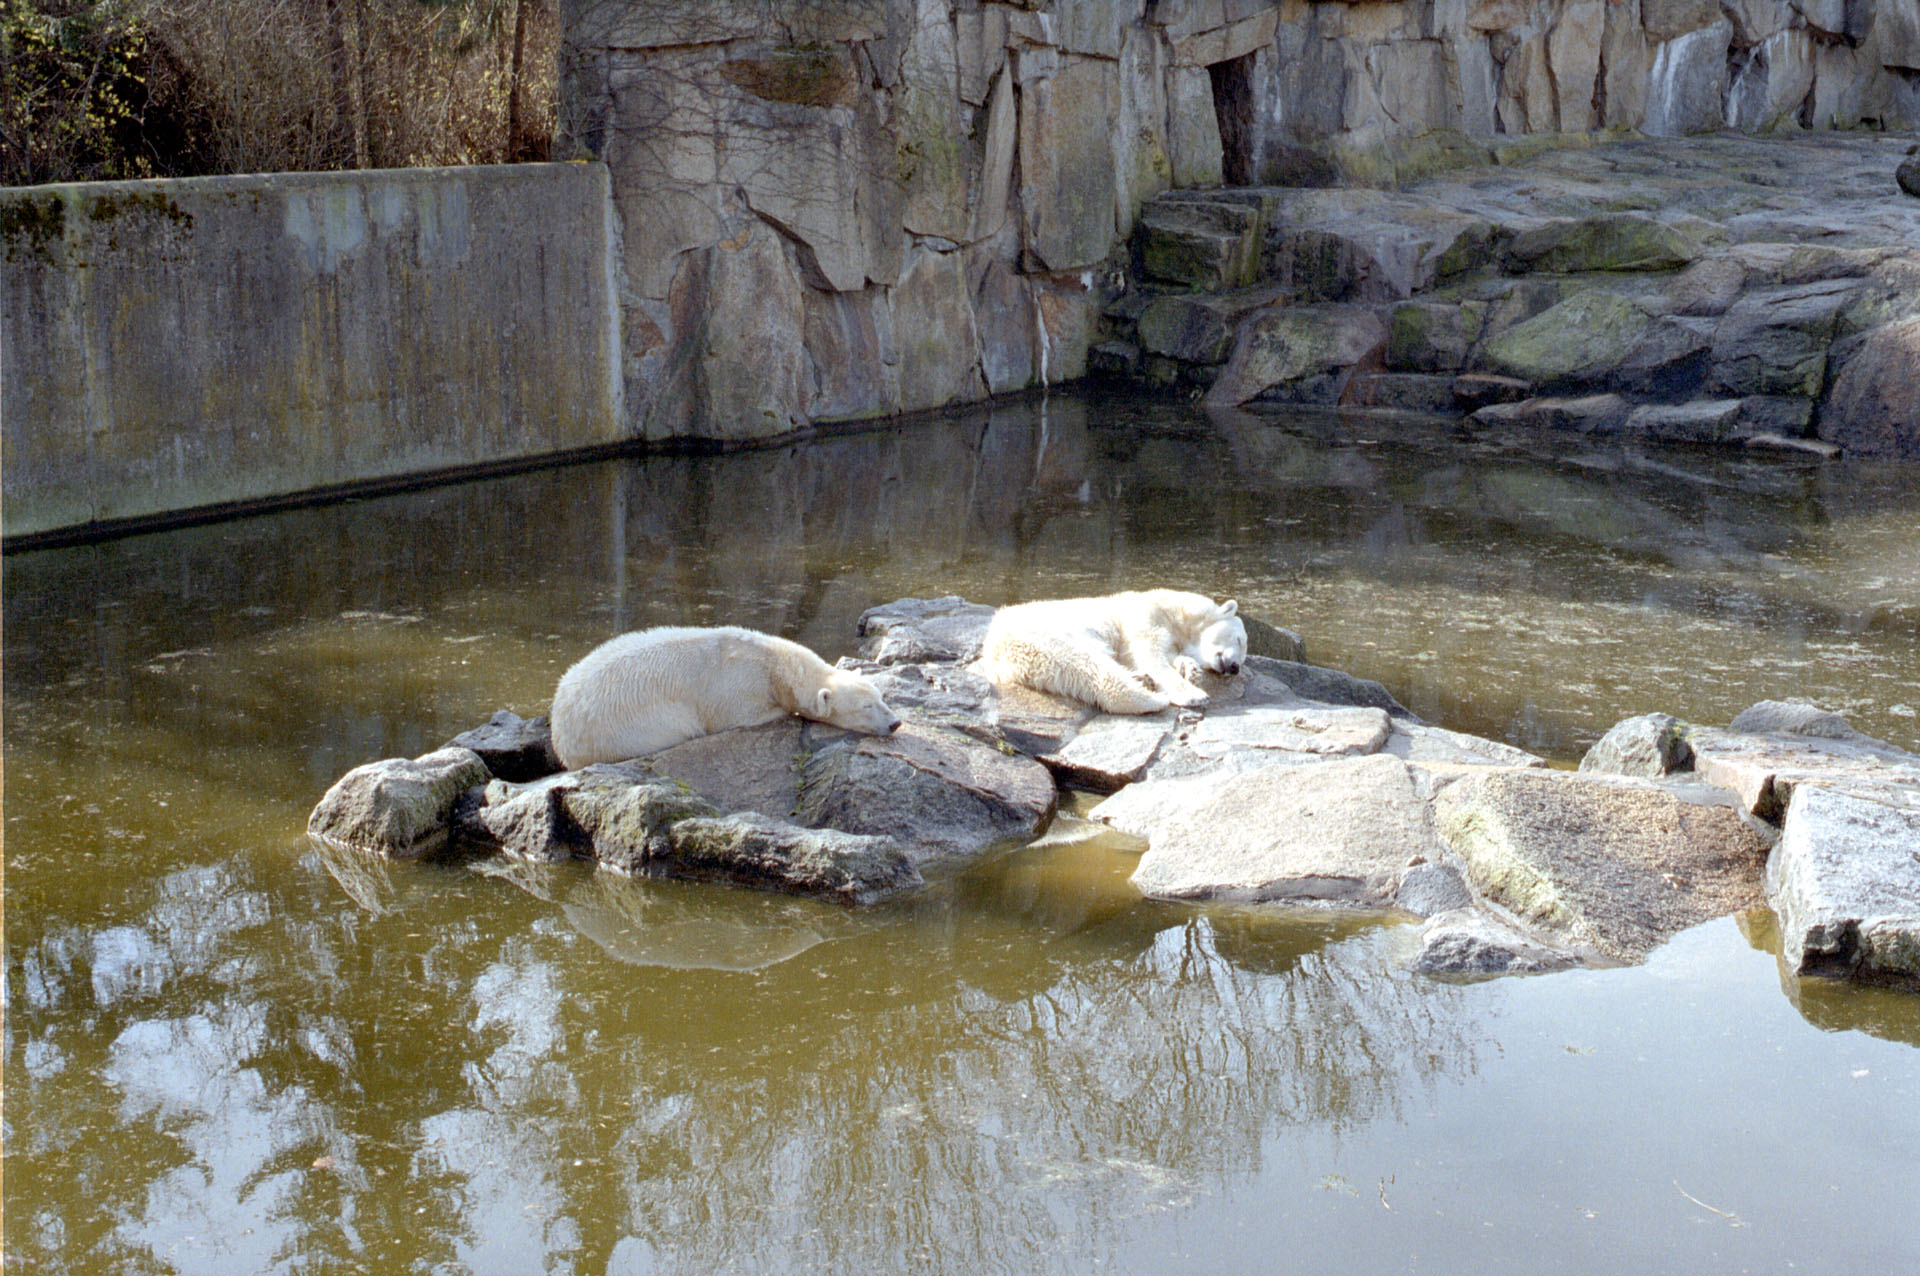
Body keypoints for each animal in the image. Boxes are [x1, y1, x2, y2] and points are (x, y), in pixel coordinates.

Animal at [545, 625, 894, 767]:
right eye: (867, 706)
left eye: (881, 697)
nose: (895, 724)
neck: (773, 661)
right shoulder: (738, 689)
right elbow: (748, 715)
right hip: (623, 730)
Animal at [975, 590, 1244, 717]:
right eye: (1240, 640)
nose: (1235, 667)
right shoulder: (1145, 616)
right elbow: (1150, 654)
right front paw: (1194, 694)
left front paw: (1190, 669)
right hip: (1046, 636)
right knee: (1089, 666)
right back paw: (1152, 698)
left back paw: (1142, 680)